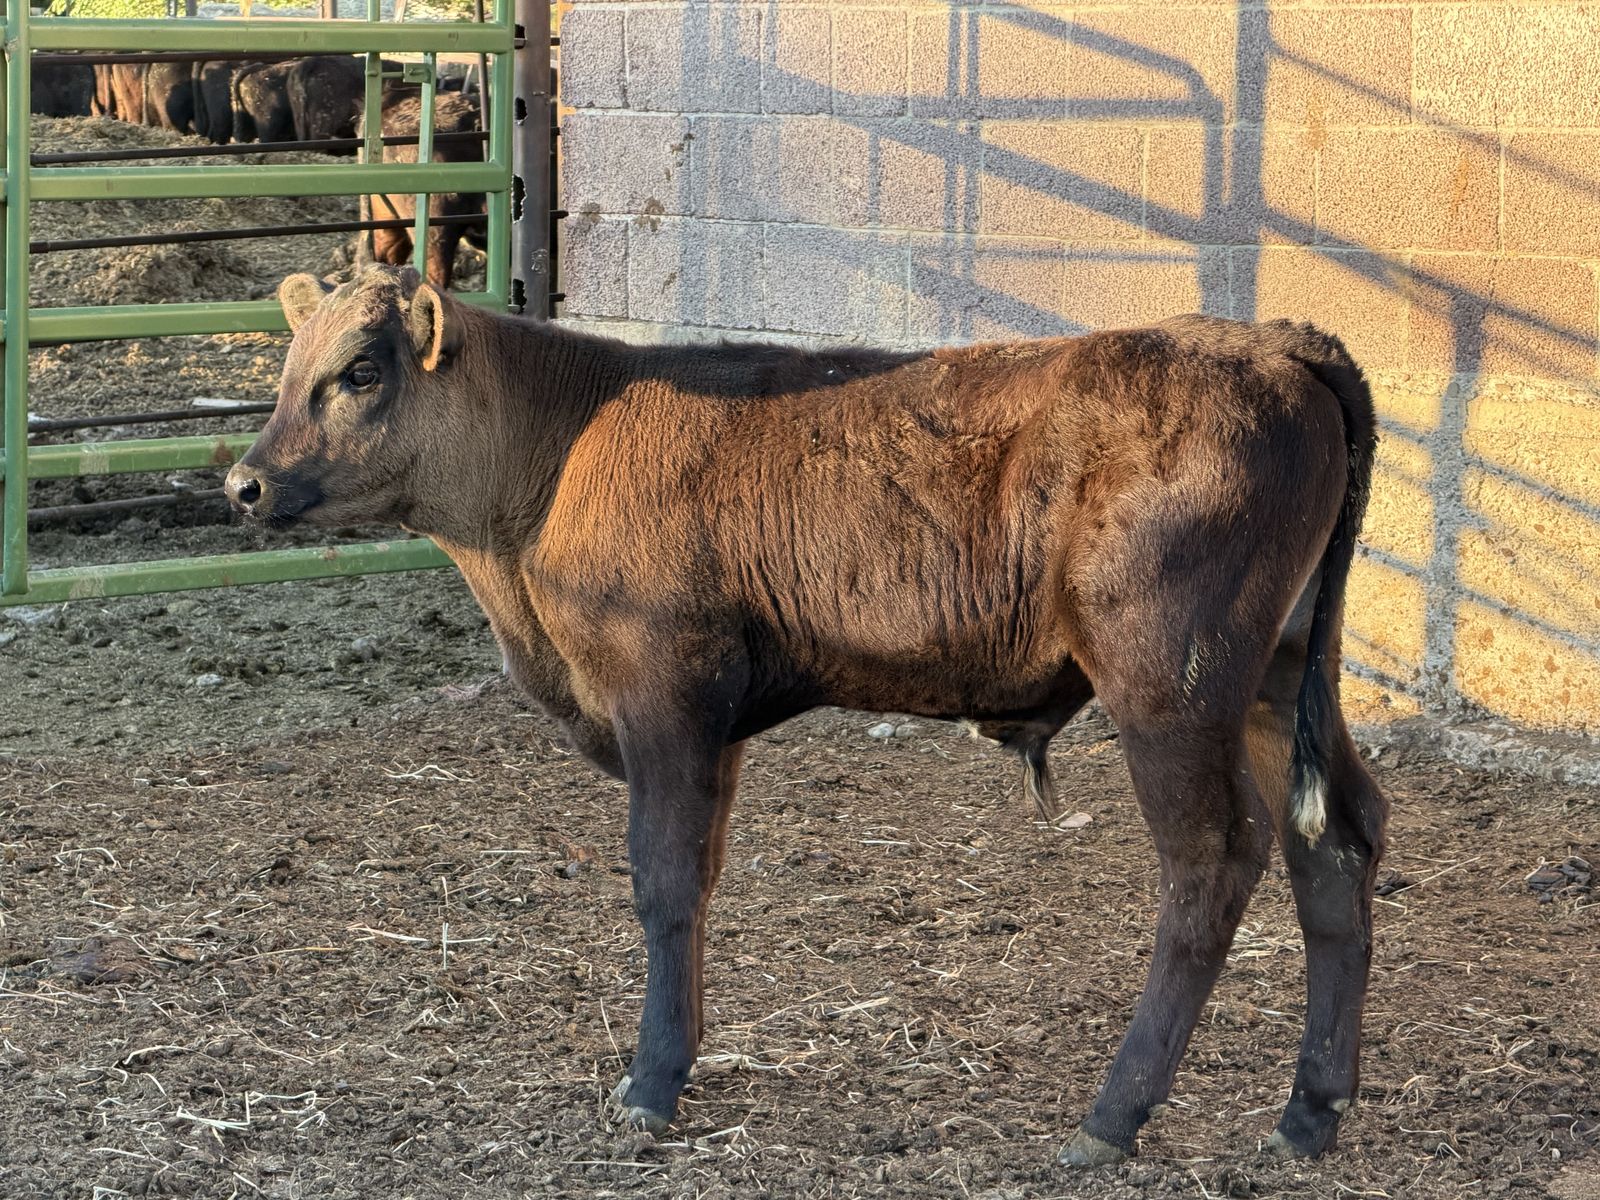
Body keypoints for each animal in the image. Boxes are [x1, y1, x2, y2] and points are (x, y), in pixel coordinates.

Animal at [227, 265, 1388, 1168]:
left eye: (361, 371)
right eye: (288, 368)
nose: (243, 483)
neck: (560, 450)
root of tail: (1271, 342)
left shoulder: (663, 694)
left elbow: (662, 882)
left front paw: (648, 1085)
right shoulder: (712, 723)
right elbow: (698, 880)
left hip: (1168, 685)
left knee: (1212, 860)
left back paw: (1114, 1114)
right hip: (1278, 676)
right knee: (1335, 840)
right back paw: (1308, 1114)